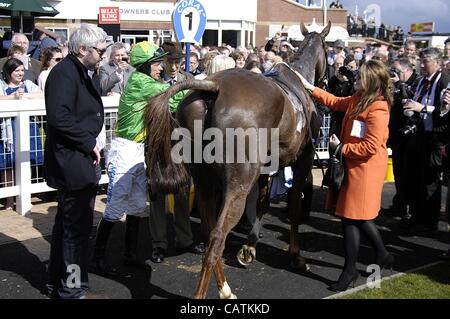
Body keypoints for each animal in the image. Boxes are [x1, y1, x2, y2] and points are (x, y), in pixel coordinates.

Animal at [144, 22, 330, 300]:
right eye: (329, 50)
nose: (327, 80)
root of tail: (213, 87)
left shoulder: (264, 170)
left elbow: (263, 203)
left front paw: (249, 247)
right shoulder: (302, 161)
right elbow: (295, 208)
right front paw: (296, 257)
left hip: (205, 181)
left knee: (209, 230)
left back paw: (225, 289)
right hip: (238, 184)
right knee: (217, 237)